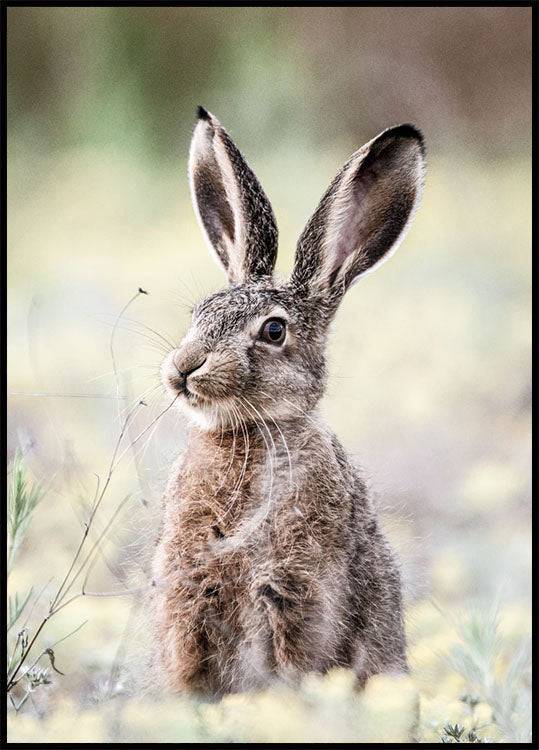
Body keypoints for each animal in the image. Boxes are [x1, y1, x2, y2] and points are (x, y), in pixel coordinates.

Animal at [151, 106, 425, 696]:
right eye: (199, 313)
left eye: (274, 331)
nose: (183, 368)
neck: (249, 434)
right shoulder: (188, 597)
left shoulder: (296, 590)